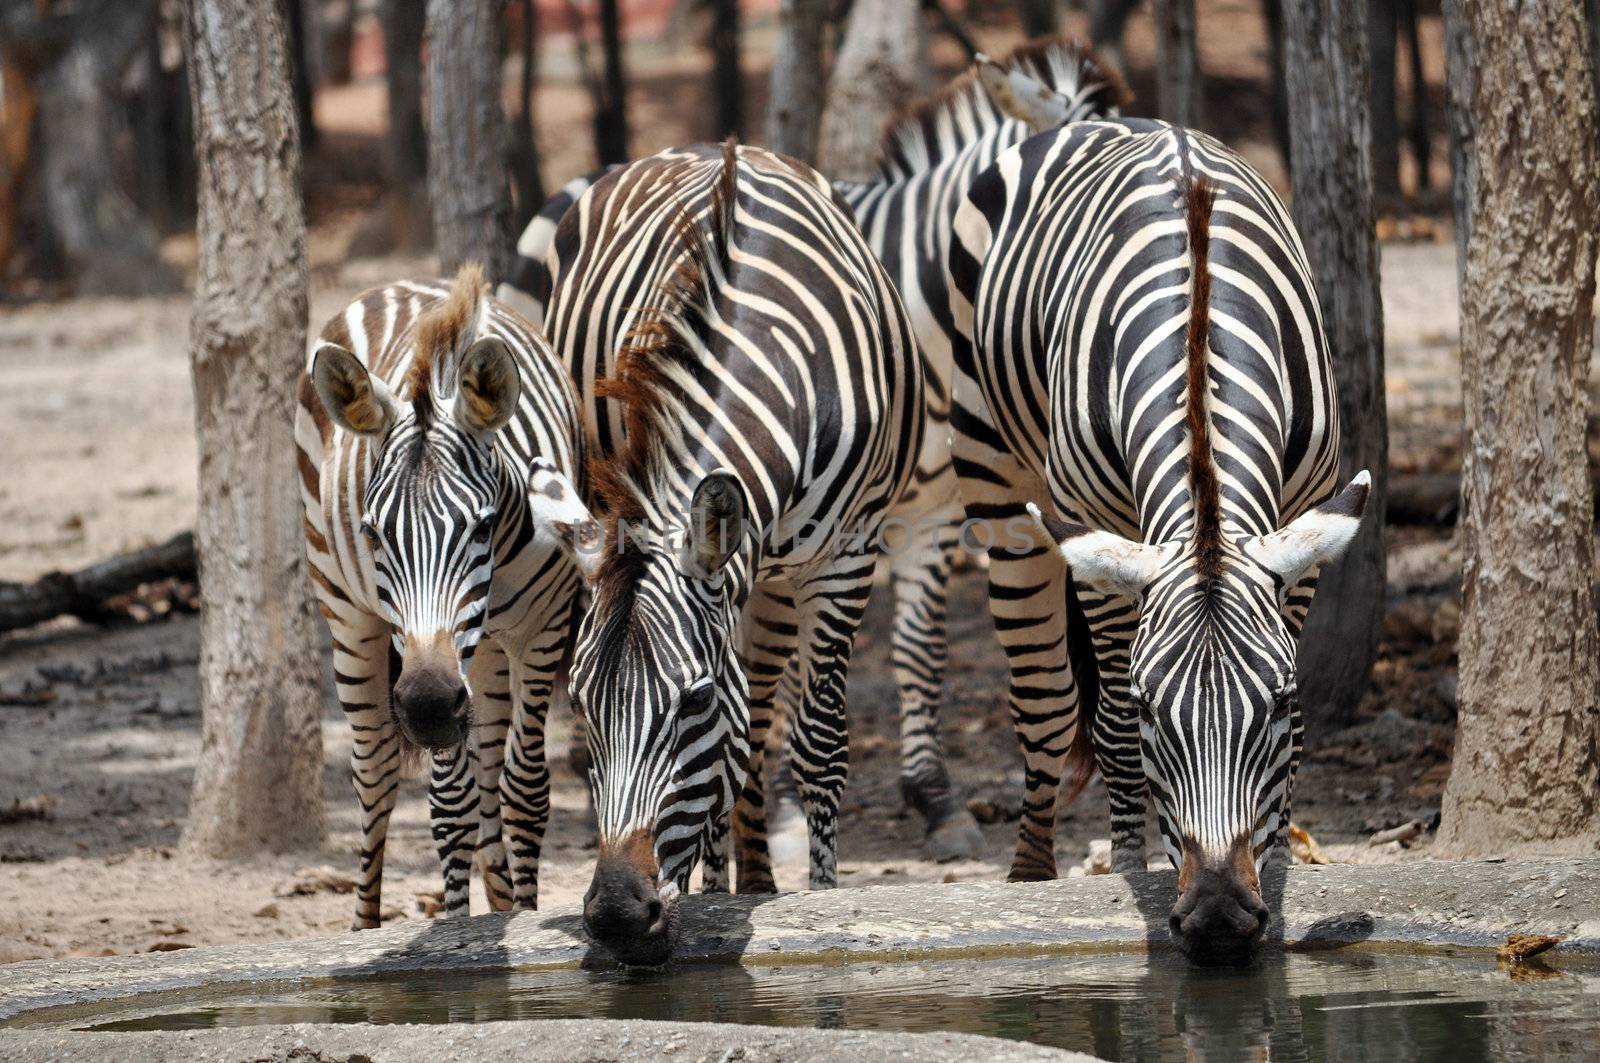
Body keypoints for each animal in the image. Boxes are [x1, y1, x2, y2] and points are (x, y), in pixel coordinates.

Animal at [294, 267, 588, 928]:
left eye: (481, 526)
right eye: (374, 532)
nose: (428, 706)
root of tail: (398, 283)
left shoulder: (543, 628)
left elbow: (522, 790)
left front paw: (521, 915)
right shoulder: (420, 650)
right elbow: (453, 805)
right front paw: (455, 932)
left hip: (484, 654)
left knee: (488, 764)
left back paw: (502, 901)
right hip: (345, 610)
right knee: (375, 772)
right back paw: (364, 924)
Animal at [531, 139, 921, 960]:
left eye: (695, 702)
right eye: (580, 702)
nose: (617, 917)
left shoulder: (849, 554)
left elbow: (818, 742)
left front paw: (824, 897)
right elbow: (734, 755)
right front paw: (714, 898)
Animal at [940, 122, 1369, 960]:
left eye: (1276, 701)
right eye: (1149, 707)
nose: (1219, 919)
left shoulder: (1303, 521)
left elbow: (1301, 732)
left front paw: (1276, 857)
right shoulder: (1098, 533)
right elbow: (1108, 728)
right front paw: (1128, 870)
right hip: (996, 476)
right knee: (1044, 701)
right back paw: (1032, 873)